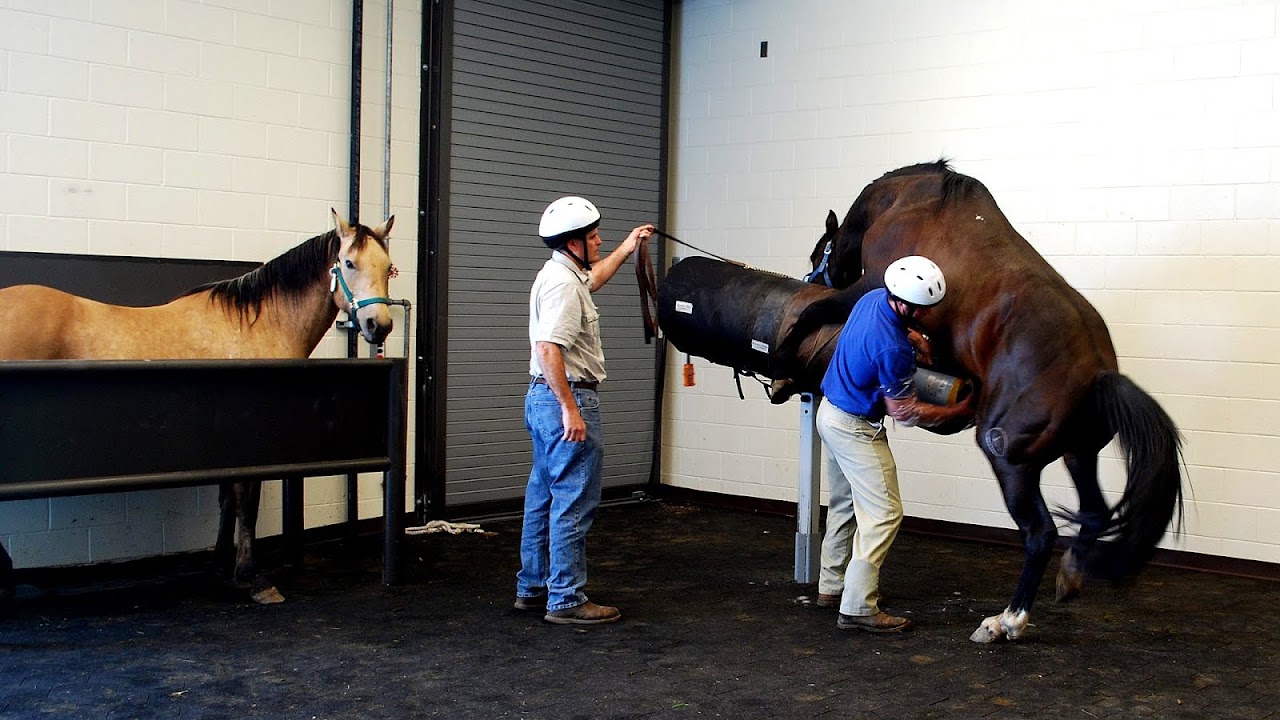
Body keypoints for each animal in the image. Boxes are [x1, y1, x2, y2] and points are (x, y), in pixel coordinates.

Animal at [0, 209, 396, 604]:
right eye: (349, 263)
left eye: (388, 266)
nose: (379, 326)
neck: (258, 327)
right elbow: (245, 505)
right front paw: (253, 578)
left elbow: (227, 502)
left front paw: (222, 566)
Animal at [779, 160, 1184, 642]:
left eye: (818, 255)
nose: (810, 278)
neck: (909, 203)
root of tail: (1099, 377)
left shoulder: (868, 285)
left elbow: (811, 314)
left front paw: (783, 364)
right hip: (1078, 454)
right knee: (1094, 514)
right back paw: (1069, 576)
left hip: (1010, 462)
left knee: (1041, 534)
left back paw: (1006, 621)